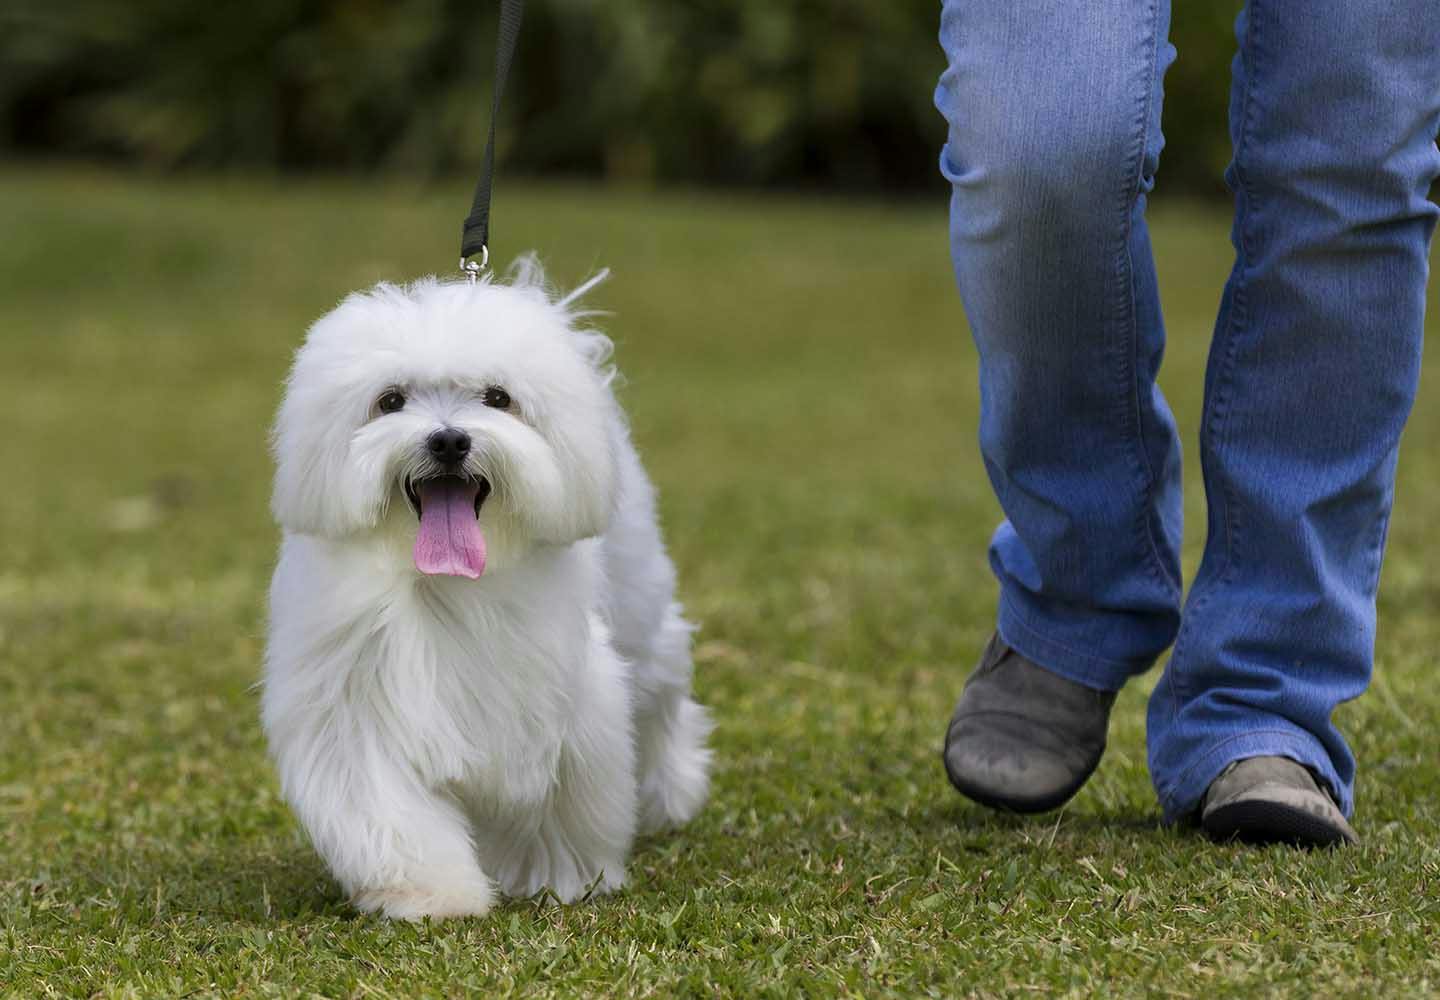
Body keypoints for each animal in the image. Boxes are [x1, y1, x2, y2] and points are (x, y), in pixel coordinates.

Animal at [264, 260, 714, 922]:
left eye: (498, 398)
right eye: (390, 400)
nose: (449, 440)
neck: (445, 585)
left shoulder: (558, 702)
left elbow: (555, 802)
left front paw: (556, 878)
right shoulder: (354, 705)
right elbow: (389, 811)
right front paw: (429, 894)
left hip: (639, 611)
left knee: (661, 698)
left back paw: (673, 792)